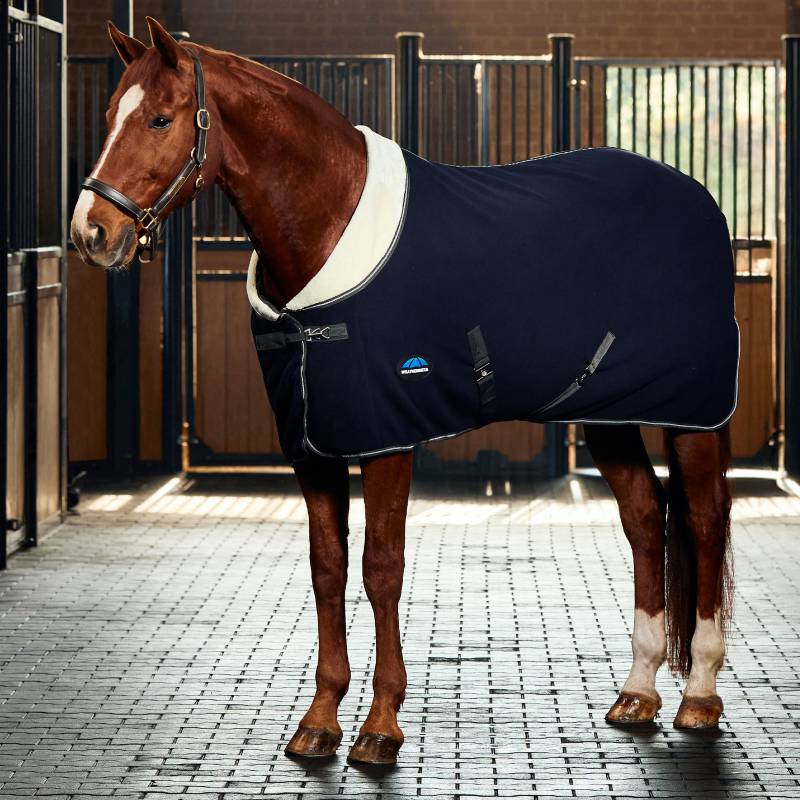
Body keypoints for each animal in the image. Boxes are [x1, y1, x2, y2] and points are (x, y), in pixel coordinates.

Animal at [71, 18, 735, 766]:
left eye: (160, 117)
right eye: (109, 115)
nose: (91, 232)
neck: (327, 226)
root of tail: (698, 200)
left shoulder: (387, 436)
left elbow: (380, 568)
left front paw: (380, 726)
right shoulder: (313, 444)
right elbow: (327, 568)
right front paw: (319, 721)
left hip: (694, 415)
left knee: (704, 521)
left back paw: (700, 697)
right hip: (609, 415)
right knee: (646, 518)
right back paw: (637, 694)